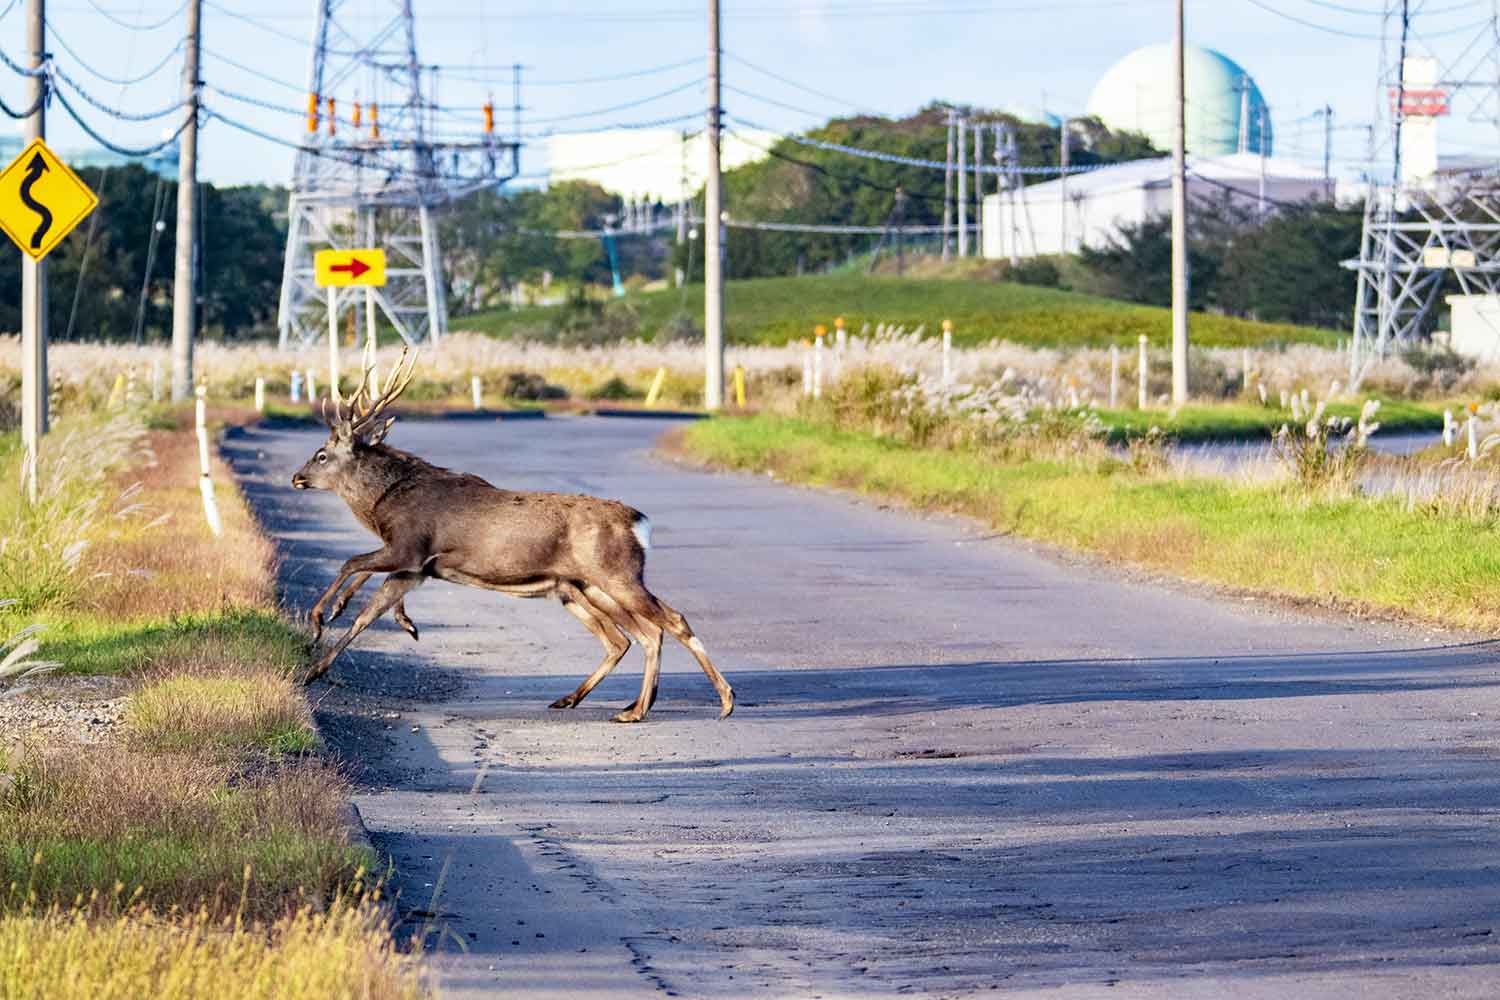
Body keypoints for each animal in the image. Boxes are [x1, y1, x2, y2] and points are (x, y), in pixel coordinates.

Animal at [286, 353, 732, 728]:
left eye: (321, 454)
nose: (296, 477)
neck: (384, 503)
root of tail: (639, 522)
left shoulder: (409, 547)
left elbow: (350, 564)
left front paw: (318, 622)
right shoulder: (417, 567)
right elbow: (368, 610)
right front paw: (320, 662)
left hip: (615, 574)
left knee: (666, 623)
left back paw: (713, 702)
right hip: (585, 586)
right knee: (632, 635)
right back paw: (609, 704)